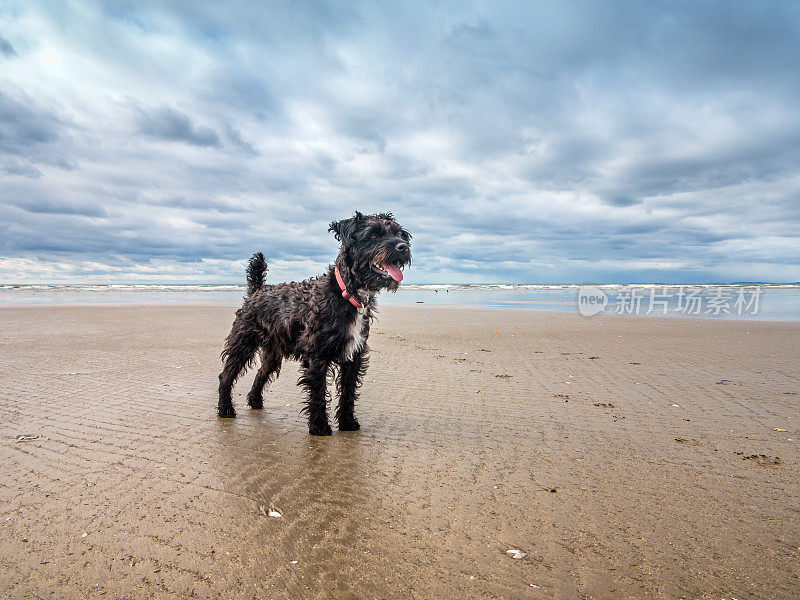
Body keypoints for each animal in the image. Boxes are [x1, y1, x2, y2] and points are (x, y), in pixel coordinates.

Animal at [217, 212, 412, 436]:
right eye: (373, 235)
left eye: (399, 234)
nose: (403, 246)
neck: (346, 293)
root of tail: (257, 290)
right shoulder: (317, 355)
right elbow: (318, 392)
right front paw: (319, 426)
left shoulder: (353, 354)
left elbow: (348, 391)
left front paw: (347, 423)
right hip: (243, 342)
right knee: (226, 375)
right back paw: (225, 409)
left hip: (273, 352)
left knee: (260, 373)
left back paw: (255, 401)